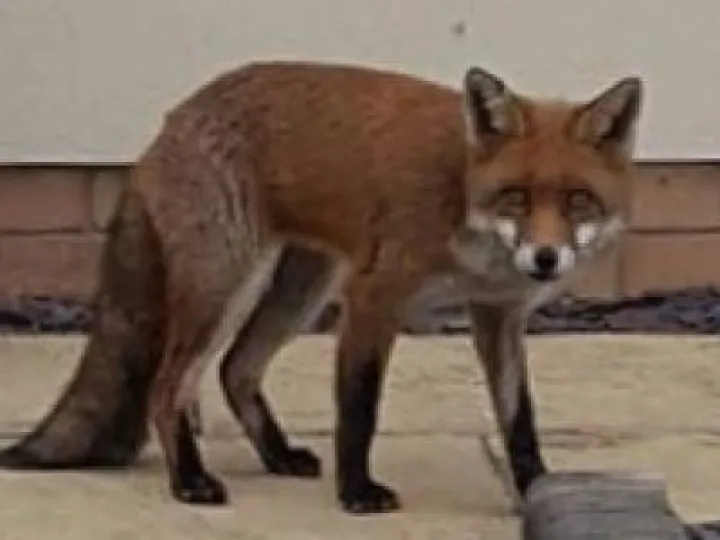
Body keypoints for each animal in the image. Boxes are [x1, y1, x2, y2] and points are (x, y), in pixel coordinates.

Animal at [0, 60, 643, 514]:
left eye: (578, 200)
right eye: (516, 197)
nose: (545, 258)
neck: (461, 200)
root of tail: (168, 123)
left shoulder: (498, 315)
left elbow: (519, 418)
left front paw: (536, 487)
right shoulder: (373, 298)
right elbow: (359, 410)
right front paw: (356, 493)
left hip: (300, 290)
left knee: (236, 370)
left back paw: (278, 455)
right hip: (228, 287)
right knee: (169, 386)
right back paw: (190, 480)